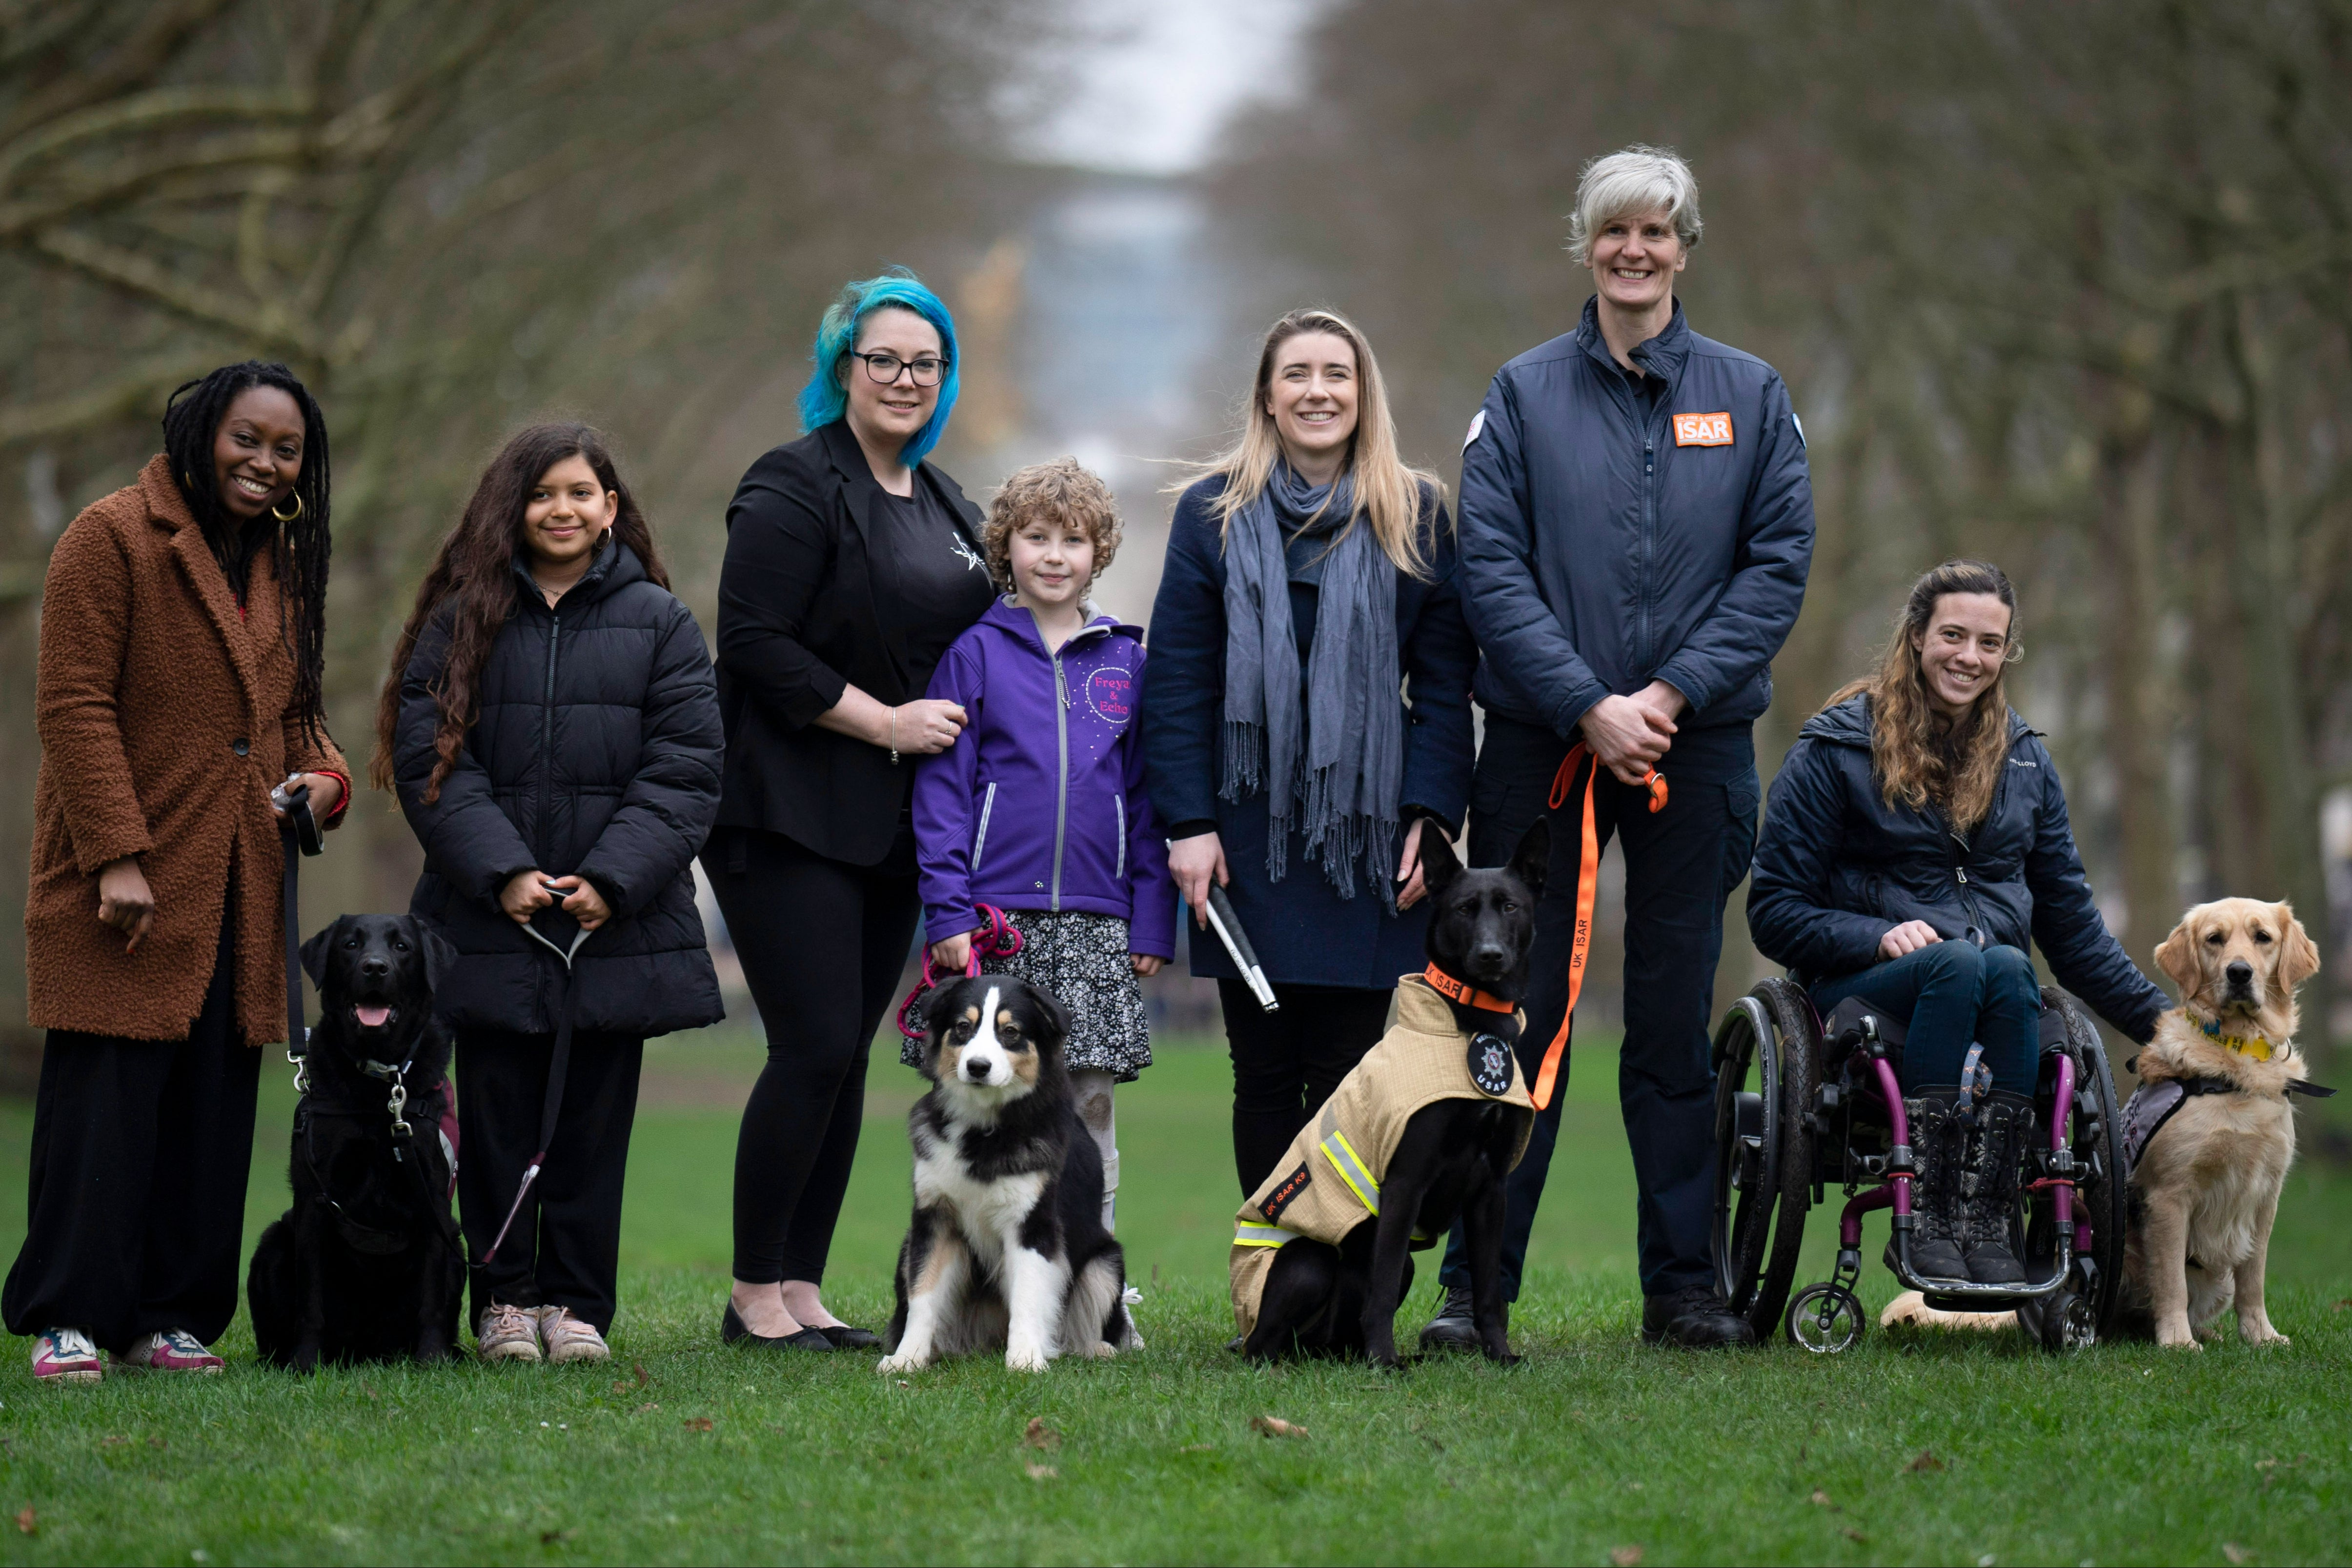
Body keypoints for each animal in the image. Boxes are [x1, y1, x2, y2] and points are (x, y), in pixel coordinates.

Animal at [250, 912, 466, 1363]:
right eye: (350, 945)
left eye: (402, 947)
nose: (375, 967)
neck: (377, 1083)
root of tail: (367, 1350)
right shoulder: (316, 1198)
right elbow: (310, 1300)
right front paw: (305, 1363)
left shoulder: (434, 1198)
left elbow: (431, 1300)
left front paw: (432, 1360)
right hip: (273, 1243)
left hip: (457, 1246)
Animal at [884, 973, 1138, 1363]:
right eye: (963, 1027)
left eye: (1011, 1032)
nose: (978, 1067)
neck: (983, 1130)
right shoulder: (934, 1218)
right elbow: (923, 1293)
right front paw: (907, 1359)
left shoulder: (1032, 1223)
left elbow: (1029, 1297)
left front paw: (1025, 1361)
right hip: (907, 1247)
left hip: (1106, 1260)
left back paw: (1095, 1348)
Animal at [1241, 818, 1552, 1363]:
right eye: (1463, 909)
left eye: (1510, 906)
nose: (1490, 955)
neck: (1466, 1024)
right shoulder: (1405, 1182)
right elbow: (1382, 1289)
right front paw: (1383, 1361)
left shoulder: (1491, 1189)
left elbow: (1488, 1287)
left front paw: (1498, 1354)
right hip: (1308, 1260)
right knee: (1262, 1345)